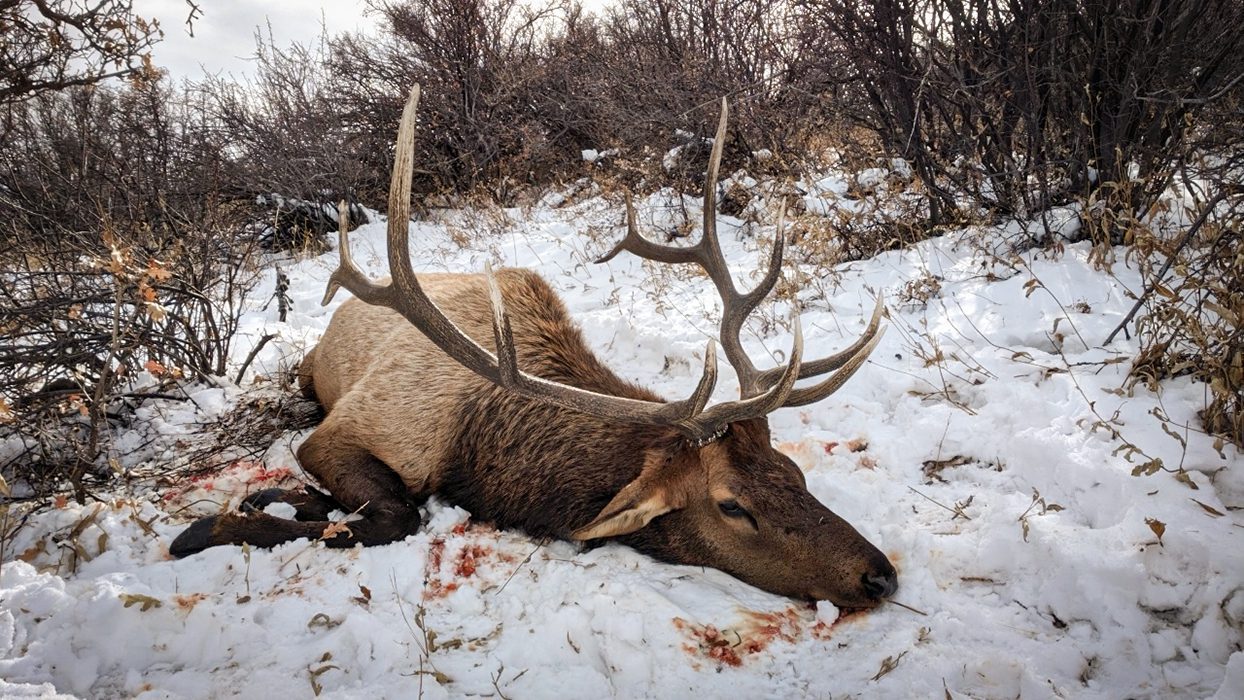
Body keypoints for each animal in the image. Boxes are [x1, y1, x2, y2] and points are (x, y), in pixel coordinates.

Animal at [171, 86, 898, 608]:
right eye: (732, 506)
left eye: (794, 474)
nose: (880, 576)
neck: (478, 449)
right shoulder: (349, 430)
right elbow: (395, 513)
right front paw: (211, 528)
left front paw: (271, 503)